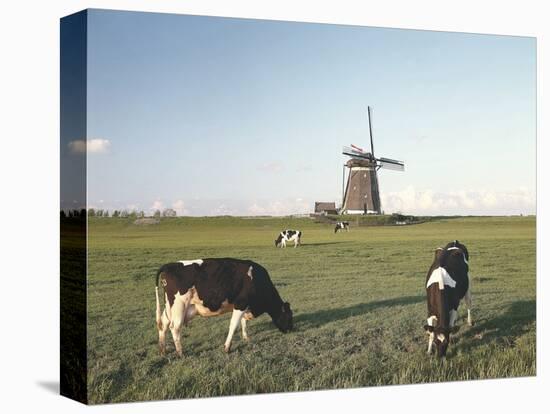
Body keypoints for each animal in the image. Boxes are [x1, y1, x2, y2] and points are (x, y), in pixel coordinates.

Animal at [155, 258, 294, 356]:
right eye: (289, 317)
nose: (291, 330)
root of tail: (169, 265)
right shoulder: (241, 303)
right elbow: (233, 325)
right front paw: (227, 348)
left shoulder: (243, 305)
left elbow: (243, 322)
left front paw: (246, 337)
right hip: (179, 305)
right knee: (175, 327)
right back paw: (180, 352)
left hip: (170, 306)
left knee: (163, 324)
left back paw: (162, 350)